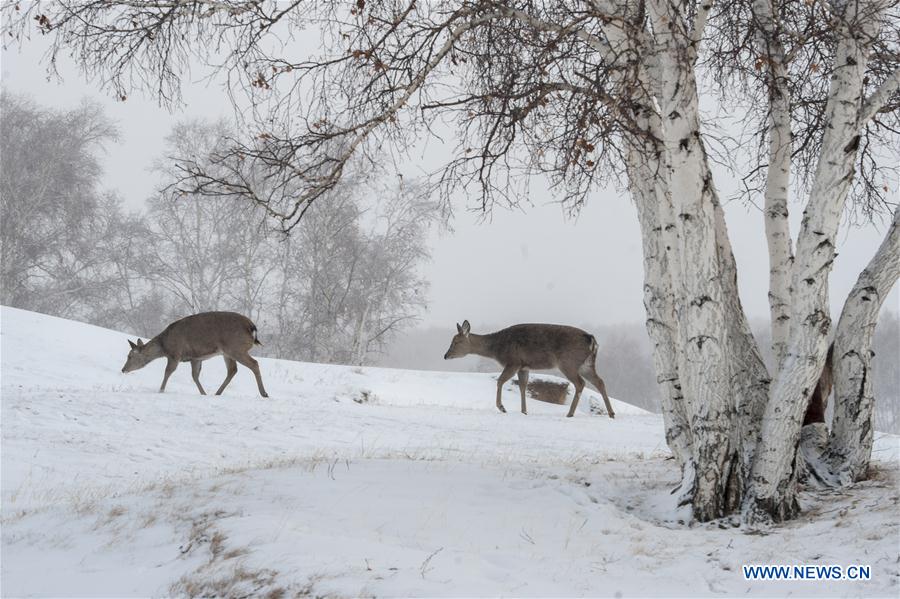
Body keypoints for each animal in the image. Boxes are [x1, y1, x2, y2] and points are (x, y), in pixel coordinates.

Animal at [120, 311, 269, 398]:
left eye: (130, 356)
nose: (123, 369)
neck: (164, 346)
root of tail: (252, 327)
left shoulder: (175, 353)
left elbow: (168, 372)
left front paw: (160, 391)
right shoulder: (195, 357)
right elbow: (195, 376)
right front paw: (203, 393)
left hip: (235, 348)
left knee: (254, 363)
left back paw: (264, 393)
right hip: (227, 352)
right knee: (233, 370)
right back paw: (217, 393)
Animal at [444, 320, 615, 418]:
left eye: (456, 342)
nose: (445, 355)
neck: (497, 348)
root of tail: (591, 339)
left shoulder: (513, 361)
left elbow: (500, 381)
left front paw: (502, 407)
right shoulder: (524, 366)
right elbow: (523, 386)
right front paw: (524, 411)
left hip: (568, 362)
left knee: (580, 383)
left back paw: (570, 413)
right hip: (587, 364)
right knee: (600, 381)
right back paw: (611, 413)